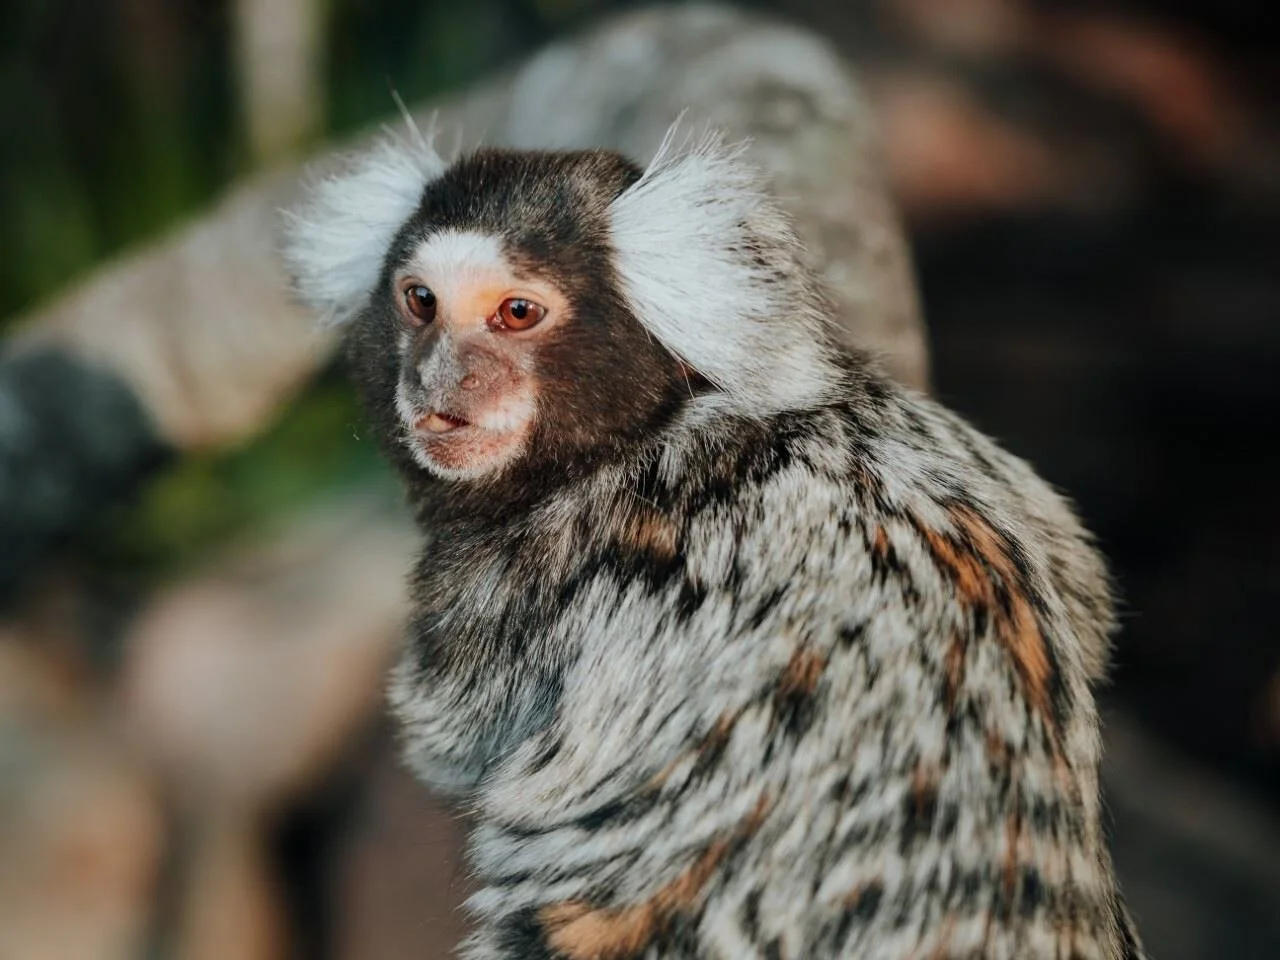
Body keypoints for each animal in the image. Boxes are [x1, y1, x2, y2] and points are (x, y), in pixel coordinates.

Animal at [281, 128, 1146, 959]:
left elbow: (456, 739)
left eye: (517, 313)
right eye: (420, 301)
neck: (651, 427)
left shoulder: (538, 579)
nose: (438, 380)